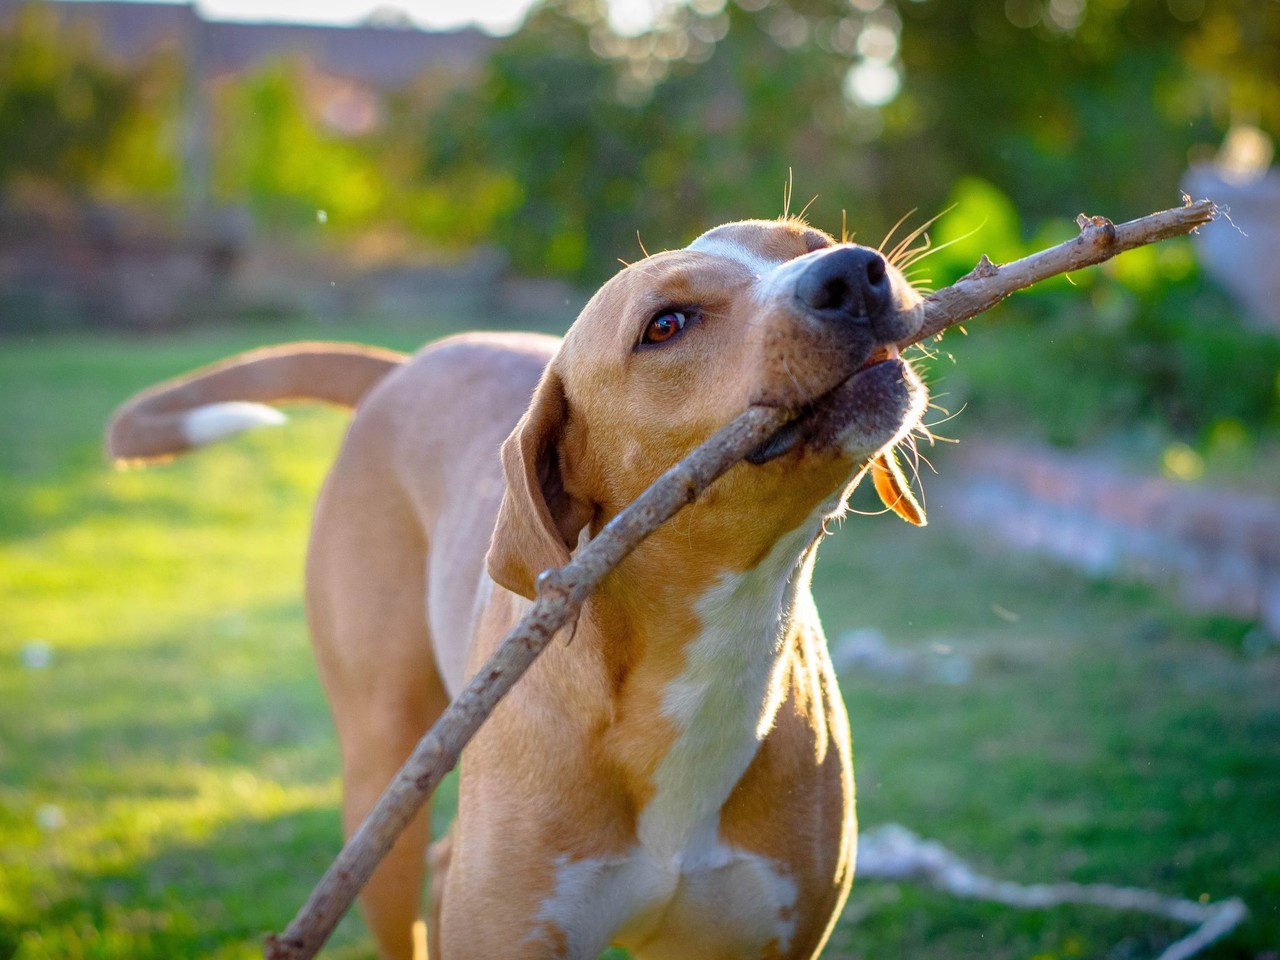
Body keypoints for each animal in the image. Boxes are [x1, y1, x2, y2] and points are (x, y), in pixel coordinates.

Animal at [107, 220, 931, 960]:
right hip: (383, 781)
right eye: (666, 324)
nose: (852, 272)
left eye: (811, 241)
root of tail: (405, 366)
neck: (708, 652)